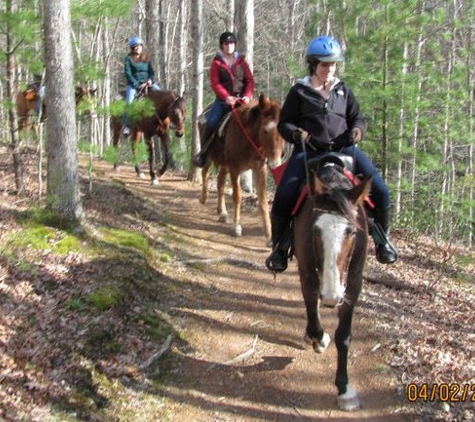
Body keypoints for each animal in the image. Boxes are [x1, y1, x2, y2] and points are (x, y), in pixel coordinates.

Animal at [199, 92, 284, 244]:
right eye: (265, 131)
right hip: (209, 156)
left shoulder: (259, 169)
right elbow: (237, 196)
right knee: (205, 172)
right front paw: (237, 227)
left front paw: (269, 235)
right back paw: (204, 197)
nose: (275, 163)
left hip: (224, 164)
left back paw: (222, 212)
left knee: (220, 182)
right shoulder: (235, 168)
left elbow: (263, 201)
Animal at [294, 157, 372, 410]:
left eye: (352, 232)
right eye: (315, 229)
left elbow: (344, 336)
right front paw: (318, 339)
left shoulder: (354, 282)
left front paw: (344, 389)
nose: (331, 297)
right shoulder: (307, 272)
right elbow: (313, 316)